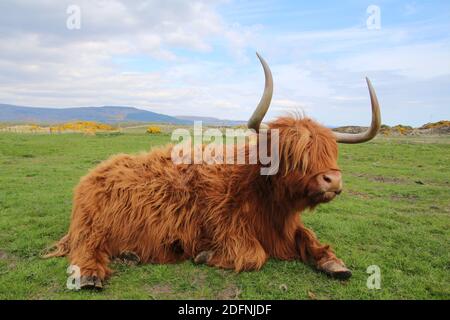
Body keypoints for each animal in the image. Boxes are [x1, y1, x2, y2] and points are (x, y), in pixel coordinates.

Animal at [45, 53, 380, 288]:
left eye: (331, 151)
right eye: (293, 154)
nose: (332, 180)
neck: (263, 195)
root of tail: (95, 173)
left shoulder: (286, 227)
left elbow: (309, 237)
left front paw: (335, 264)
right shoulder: (226, 227)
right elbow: (253, 255)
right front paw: (206, 256)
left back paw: (130, 255)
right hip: (93, 224)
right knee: (86, 246)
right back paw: (89, 276)